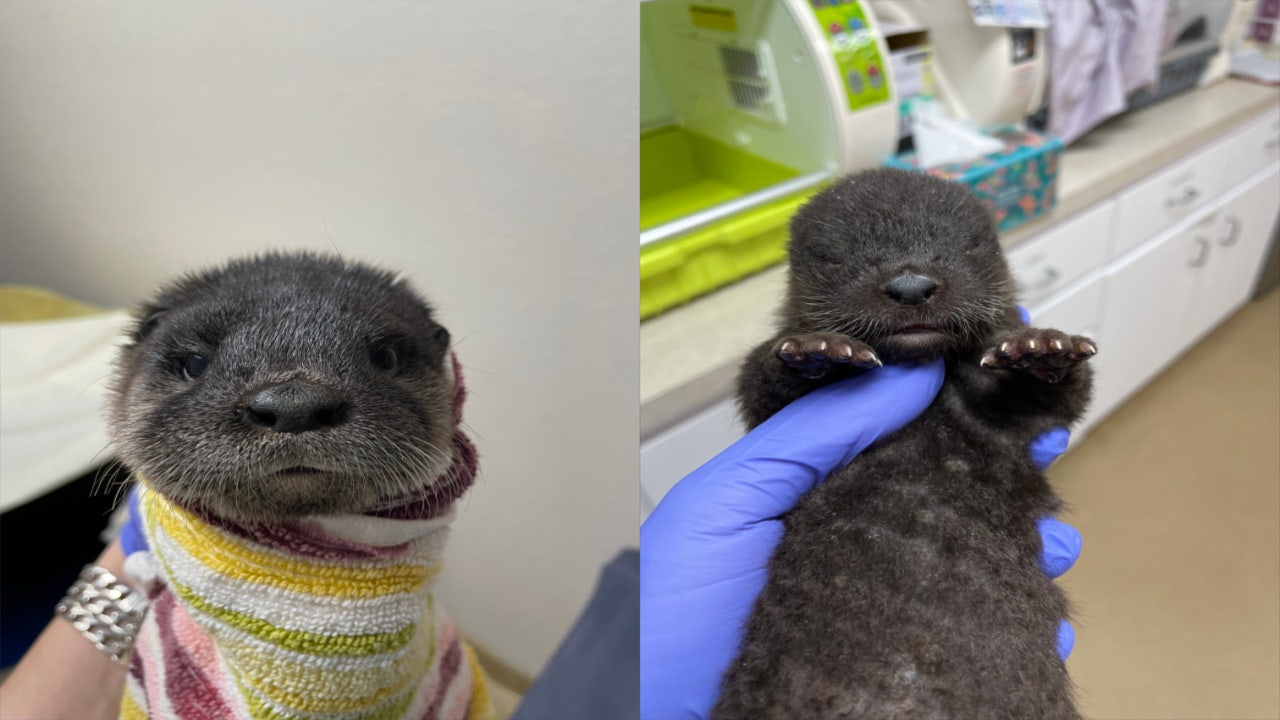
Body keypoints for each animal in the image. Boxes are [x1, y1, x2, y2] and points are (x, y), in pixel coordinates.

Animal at [715, 169, 1095, 720]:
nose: (911, 285)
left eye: (967, 247)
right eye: (836, 258)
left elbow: (1058, 399)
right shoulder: (763, 408)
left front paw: (1041, 348)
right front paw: (817, 351)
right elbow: (756, 383)